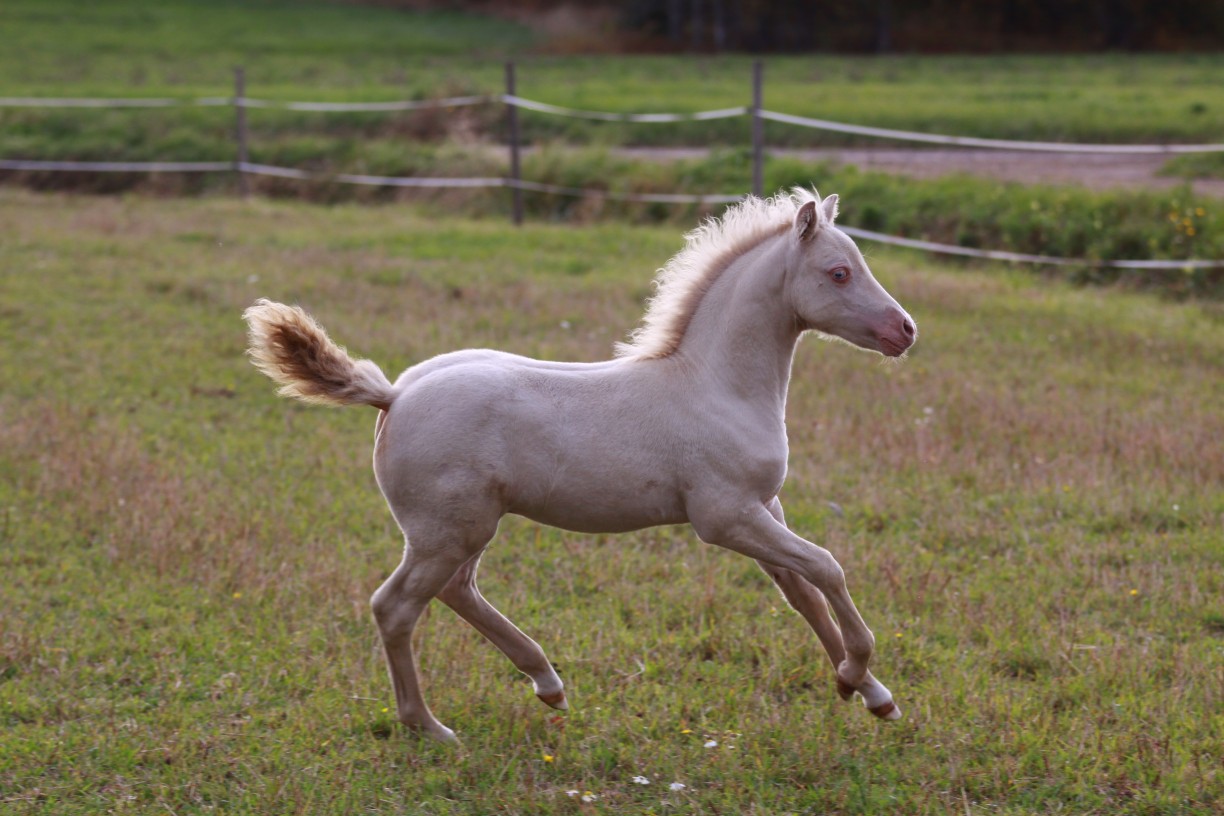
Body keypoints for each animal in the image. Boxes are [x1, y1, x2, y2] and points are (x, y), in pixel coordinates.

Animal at [243, 188, 920, 743]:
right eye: (839, 272)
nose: (906, 331)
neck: (714, 385)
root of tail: (394, 395)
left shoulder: (763, 508)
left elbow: (801, 593)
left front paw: (869, 693)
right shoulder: (726, 517)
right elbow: (827, 568)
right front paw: (859, 672)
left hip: (464, 528)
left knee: (457, 590)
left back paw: (547, 682)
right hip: (446, 530)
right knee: (396, 606)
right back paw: (430, 727)